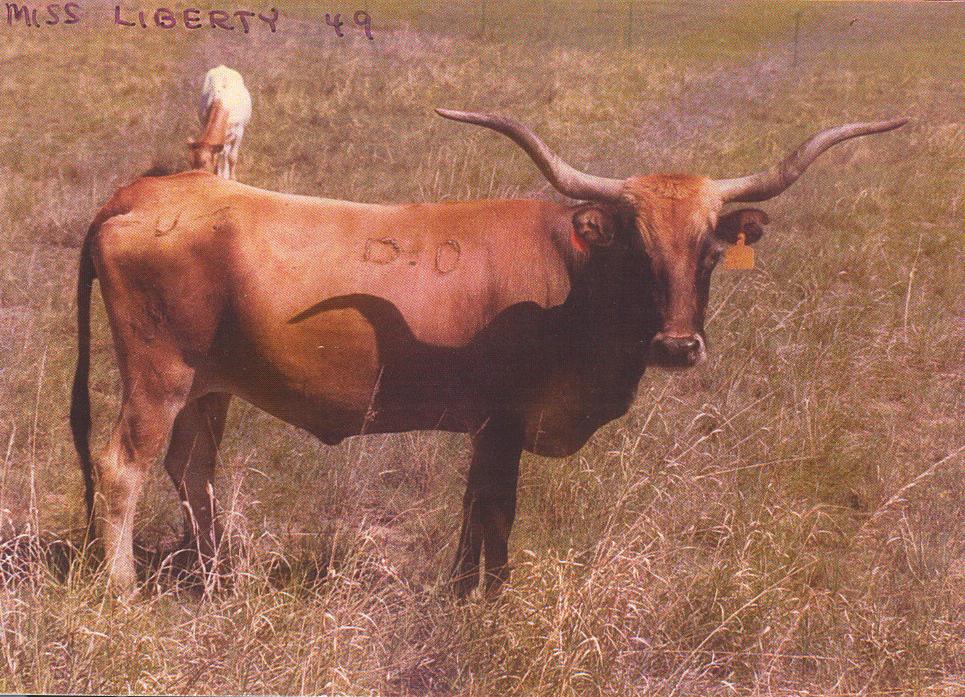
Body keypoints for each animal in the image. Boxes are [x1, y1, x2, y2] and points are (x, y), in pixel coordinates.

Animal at [70, 109, 905, 596]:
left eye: (706, 250)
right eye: (636, 247)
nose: (675, 344)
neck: (574, 282)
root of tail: (145, 192)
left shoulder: (481, 428)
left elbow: (474, 515)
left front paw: (456, 593)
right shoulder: (503, 422)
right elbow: (497, 519)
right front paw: (489, 605)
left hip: (209, 385)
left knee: (191, 469)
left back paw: (217, 579)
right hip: (158, 374)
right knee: (123, 467)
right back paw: (123, 591)